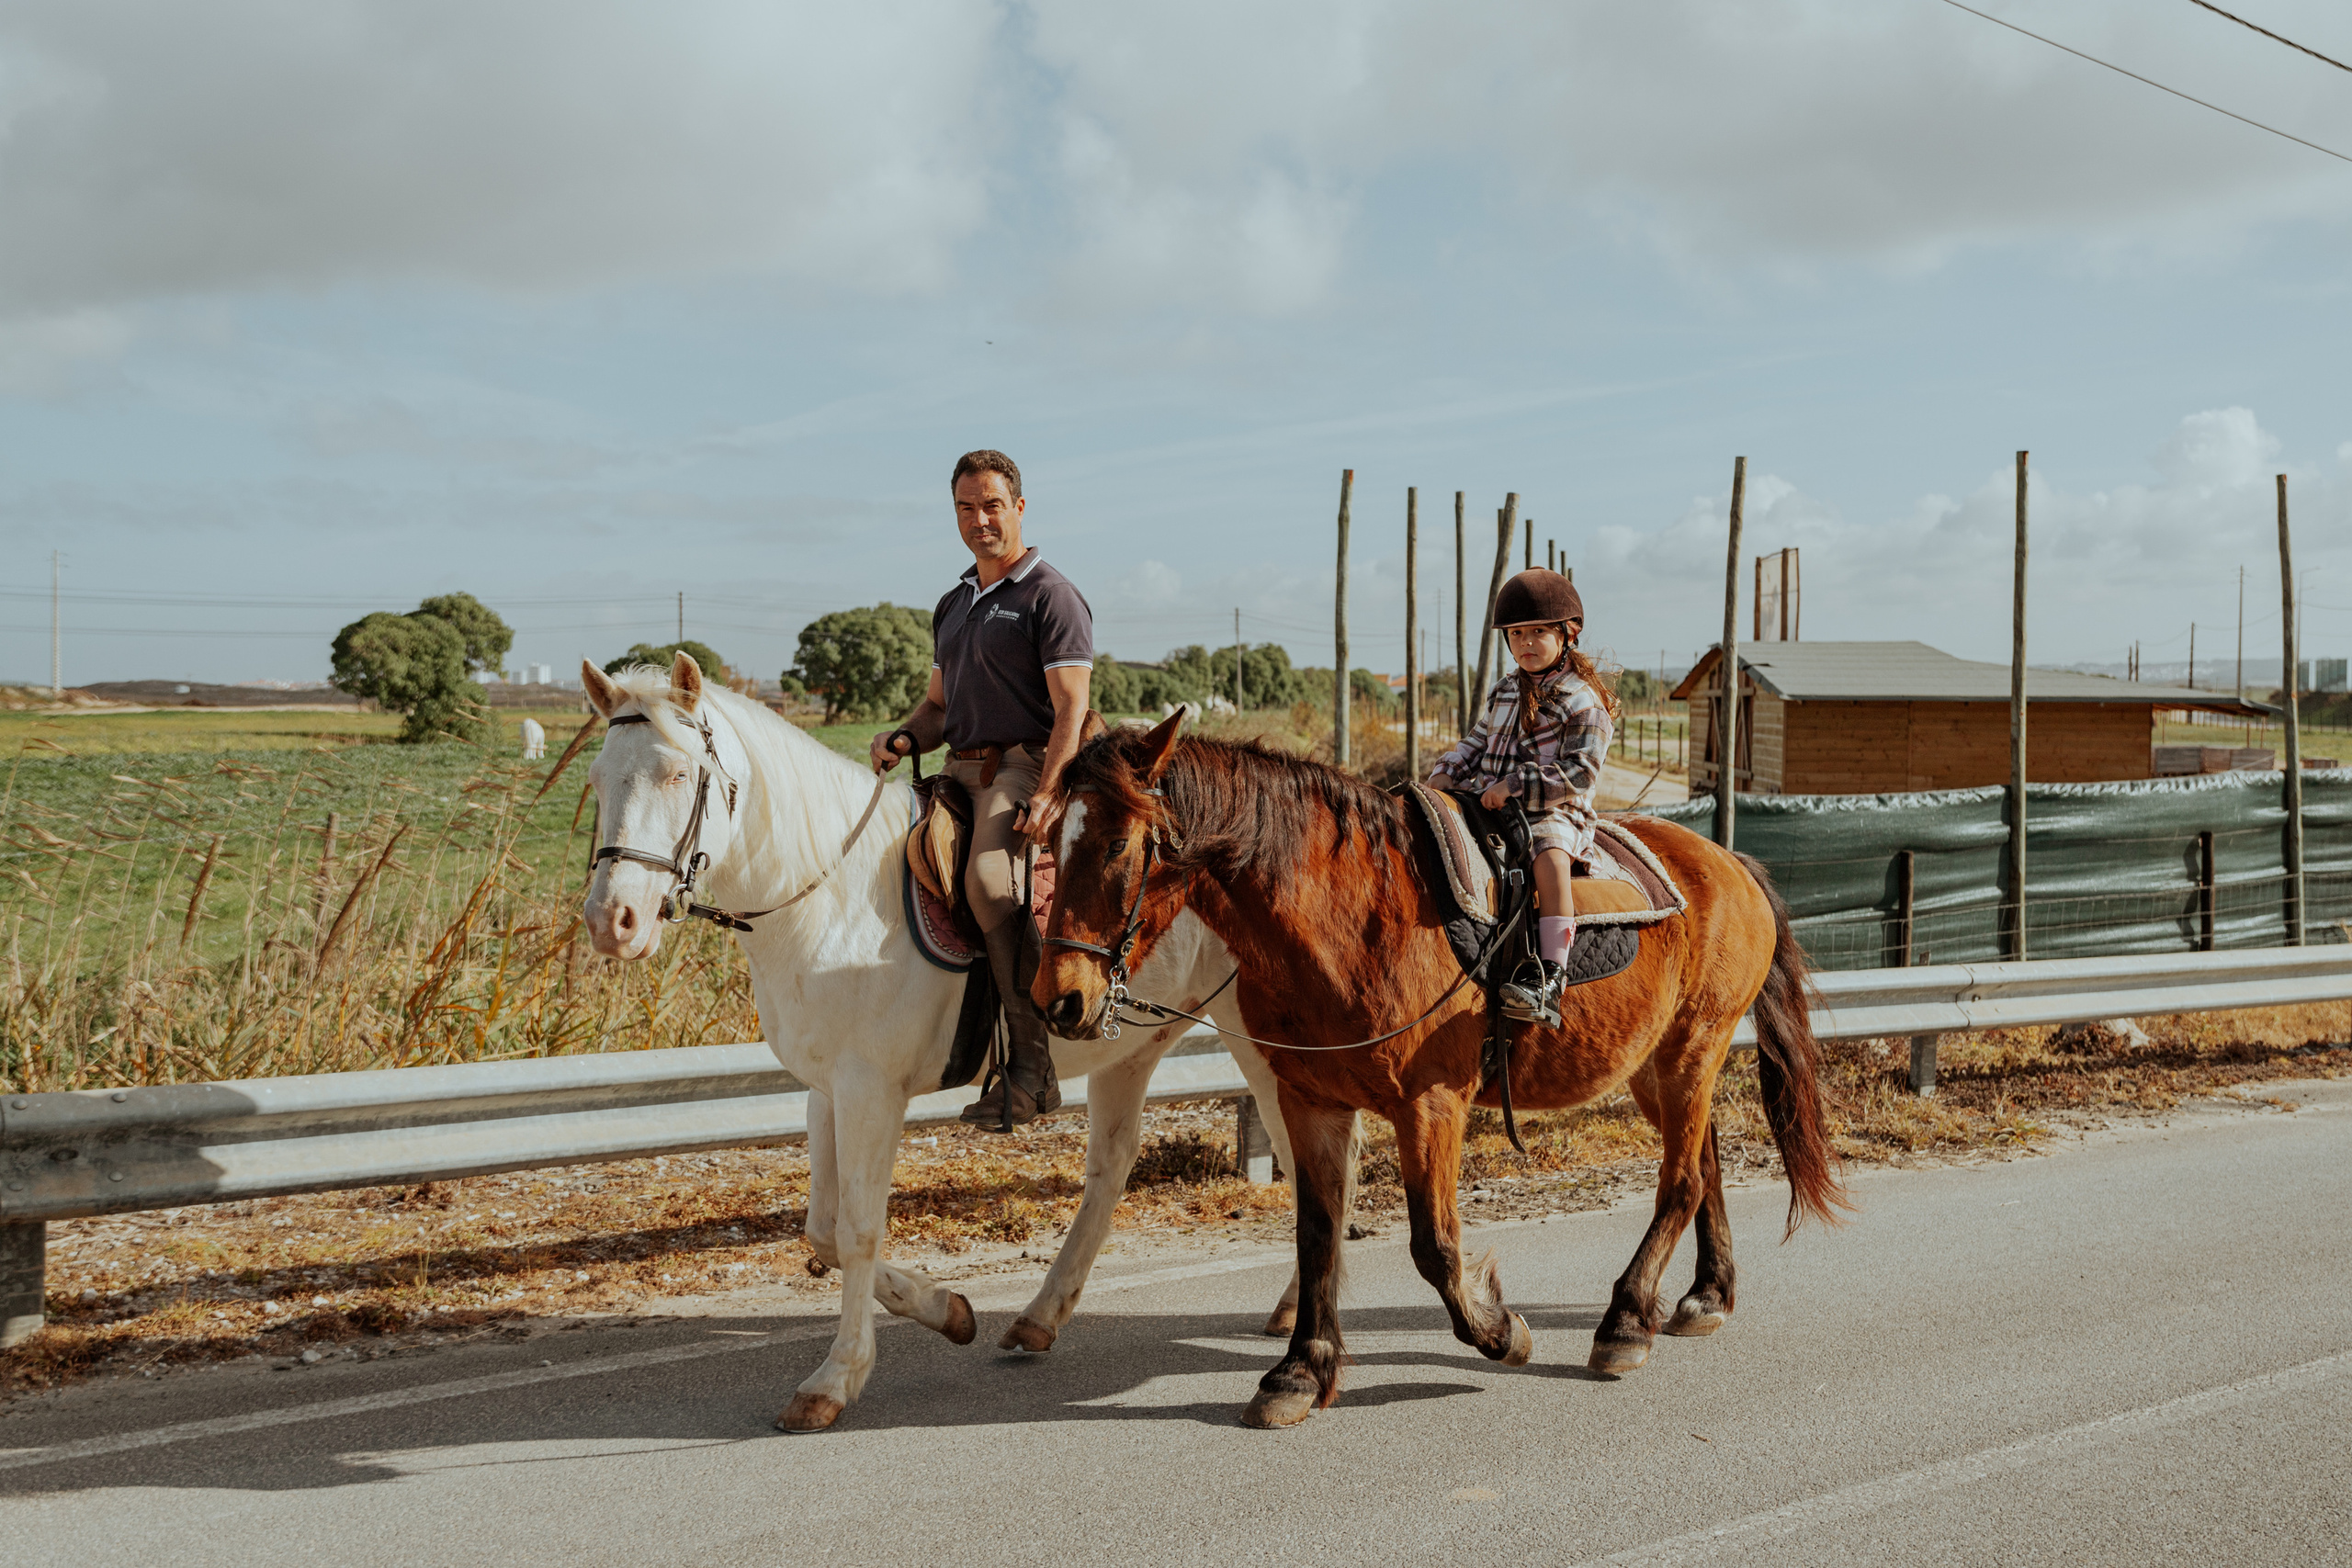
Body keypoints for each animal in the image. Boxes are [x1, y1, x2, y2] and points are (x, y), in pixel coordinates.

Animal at [577, 655, 1328, 1432]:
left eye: (676, 773)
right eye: (598, 778)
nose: (612, 920)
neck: (835, 896)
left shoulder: (871, 1091)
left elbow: (857, 1229)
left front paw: (835, 1377)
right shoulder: (827, 1088)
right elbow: (823, 1229)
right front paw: (949, 1310)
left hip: (1267, 1045)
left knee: (1307, 1161)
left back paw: (1291, 1318)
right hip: (1132, 1050)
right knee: (1112, 1166)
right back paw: (1042, 1315)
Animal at [1035, 714, 1848, 1429]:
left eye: (1117, 843)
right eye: (1047, 839)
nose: (1058, 999)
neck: (1353, 918)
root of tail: (1730, 863)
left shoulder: (1431, 1105)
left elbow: (1435, 1245)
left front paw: (1501, 1330)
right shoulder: (1311, 1100)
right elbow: (1317, 1230)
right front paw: (1299, 1371)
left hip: (1691, 1049)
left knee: (1680, 1180)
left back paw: (1624, 1321)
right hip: (1652, 1066)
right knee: (1704, 1163)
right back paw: (1705, 1295)